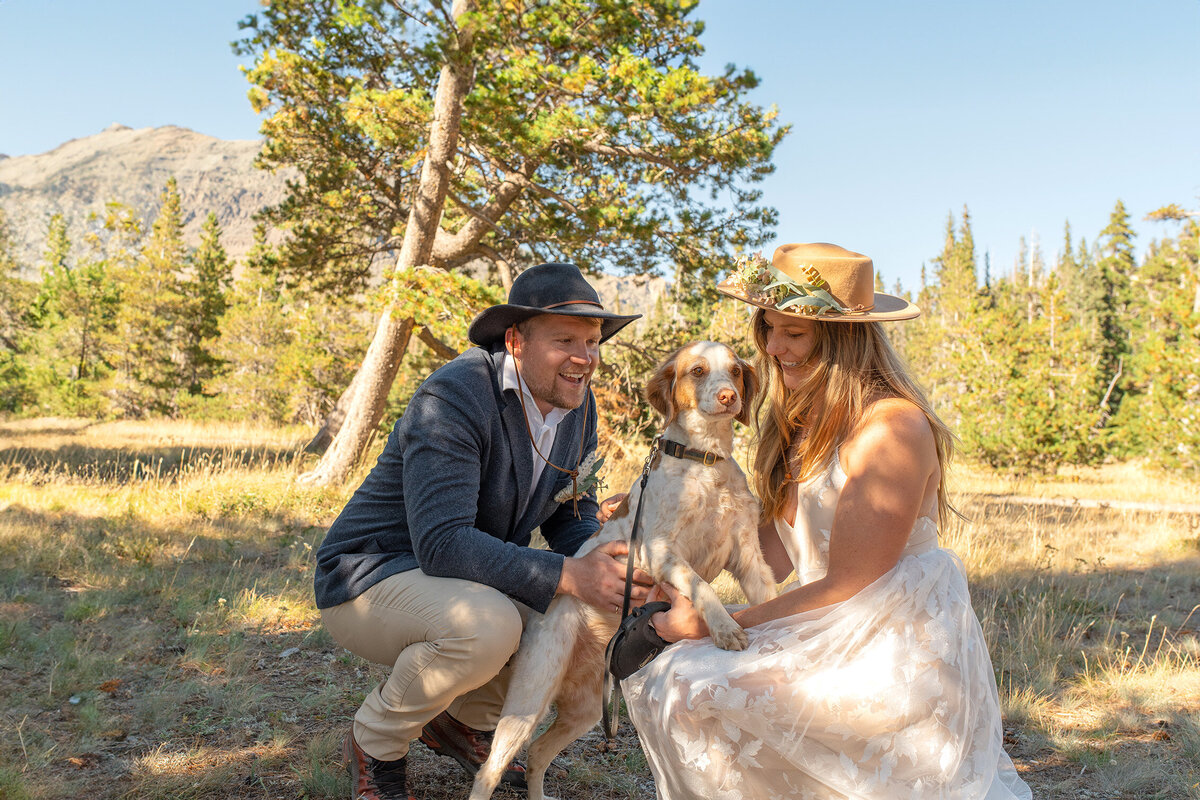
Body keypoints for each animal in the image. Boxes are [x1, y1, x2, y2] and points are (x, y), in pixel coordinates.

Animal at [468, 340, 777, 800]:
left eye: (736, 372)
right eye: (698, 371)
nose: (728, 397)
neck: (705, 462)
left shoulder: (747, 554)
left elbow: (770, 595)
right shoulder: (658, 551)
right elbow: (701, 586)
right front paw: (725, 628)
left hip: (584, 711)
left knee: (538, 753)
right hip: (530, 695)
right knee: (489, 769)